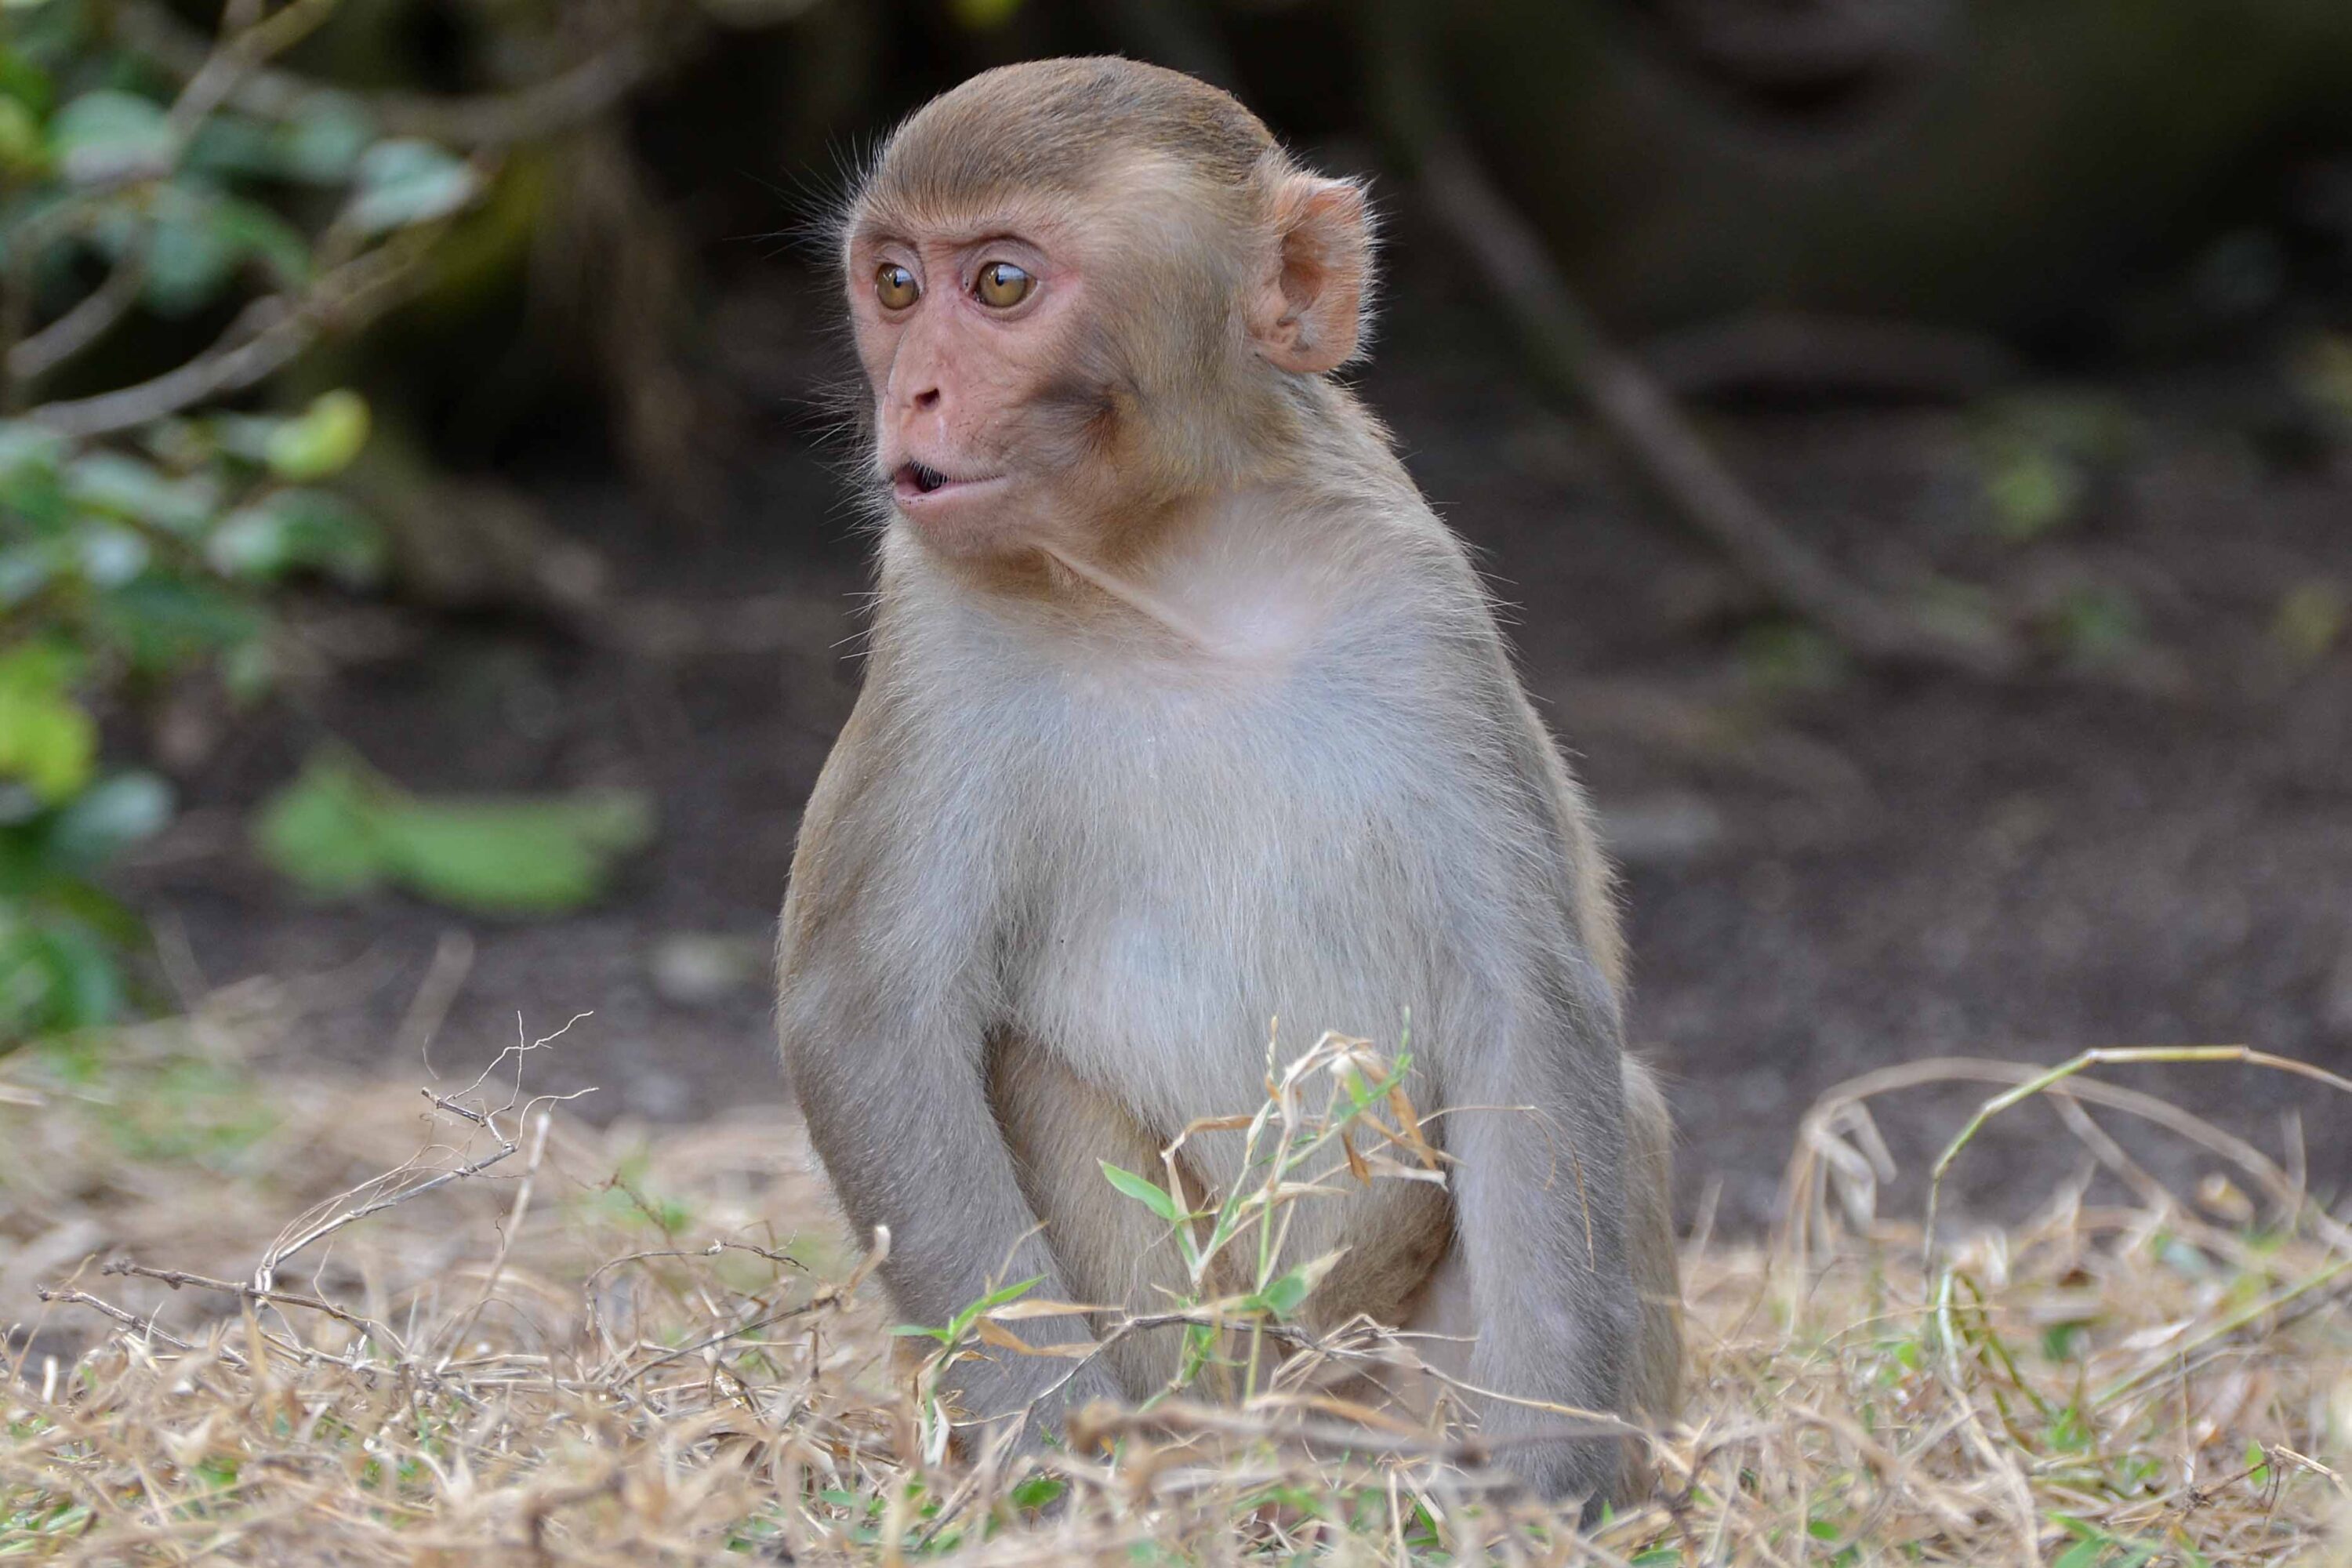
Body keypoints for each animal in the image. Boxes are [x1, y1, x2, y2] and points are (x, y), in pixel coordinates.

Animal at [777, 57, 1681, 1511]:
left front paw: (1553, 1484)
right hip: (1218, 1352)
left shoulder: (1414, 606)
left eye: (1003, 286)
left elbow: (1526, 1004)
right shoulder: (933, 636)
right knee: (1031, 1077)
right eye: (898, 286)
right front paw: (1049, 1463)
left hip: (1389, 1379)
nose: (908, 395)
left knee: (1628, 1108)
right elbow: (865, 1022)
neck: (1171, 577)